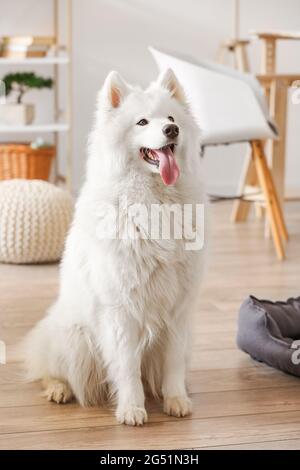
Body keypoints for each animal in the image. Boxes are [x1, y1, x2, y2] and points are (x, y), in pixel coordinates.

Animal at [24, 69, 206, 426]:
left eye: (171, 118)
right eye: (142, 122)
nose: (172, 130)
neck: (153, 201)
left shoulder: (179, 309)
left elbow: (173, 362)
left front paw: (176, 399)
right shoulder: (120, 309)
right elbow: (127, 366)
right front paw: (132, 409)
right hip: (75, 339)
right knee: (47, 370)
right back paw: (58, 389)